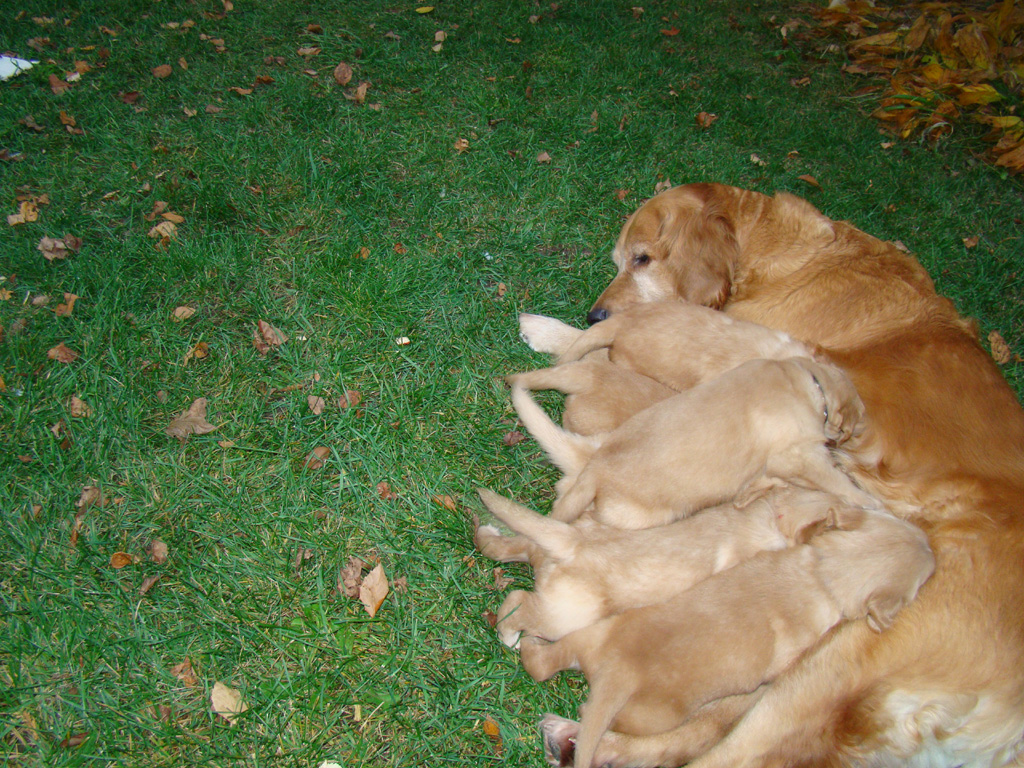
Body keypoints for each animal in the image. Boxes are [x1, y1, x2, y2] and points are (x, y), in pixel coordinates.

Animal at [471, 487, 839, 651]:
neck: (765, 518)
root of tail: (574, 541)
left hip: (536, 547)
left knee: (502, 547)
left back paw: (487, 532)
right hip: (563, 615)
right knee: (517, 602)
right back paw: (509, 637)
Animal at [516, 356, 876, 528]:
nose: (855, 434)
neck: (807, 380)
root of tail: (597, 467)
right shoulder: (798, 454)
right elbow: (836, 481)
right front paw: (867, 499)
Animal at [524, 507, 933, 768]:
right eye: (923, 576)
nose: (934, 544)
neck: (825, 573)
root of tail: (619, 672)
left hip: (594, 634)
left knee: (546, 664)